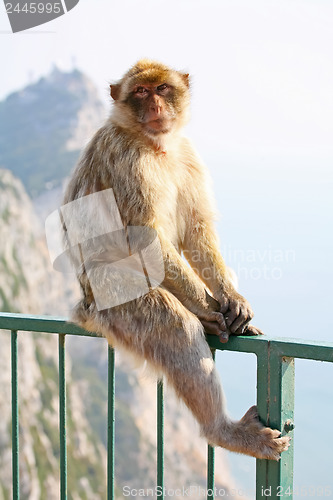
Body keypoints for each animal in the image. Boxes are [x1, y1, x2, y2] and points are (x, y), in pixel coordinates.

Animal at [61, 60, 288, 458]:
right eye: (140, 91)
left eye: (162, 88)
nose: (154, 105)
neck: (155, 145)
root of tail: (84, 303)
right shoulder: (126, 158)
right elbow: (148, 238)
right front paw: (210, 309)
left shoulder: (187, 153)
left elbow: (197, 229)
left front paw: (232, 300)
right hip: (115, 298)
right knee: (174, 327)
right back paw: (222, 430)